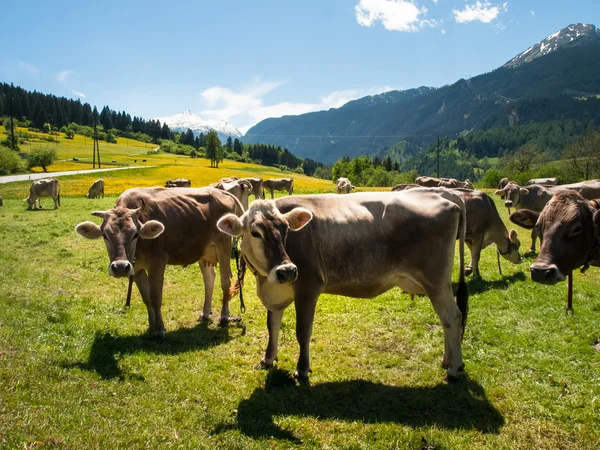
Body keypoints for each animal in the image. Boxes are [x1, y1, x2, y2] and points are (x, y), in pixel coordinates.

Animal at [75, 186, 244, 334]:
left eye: (135, 234)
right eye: (105, 235)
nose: (121, 267)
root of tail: (219, 191)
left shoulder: (158, 262)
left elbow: (156, 297)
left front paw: (160, 329)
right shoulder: (136, 268)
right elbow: (146, 298)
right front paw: (151, 326)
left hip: (223, 245)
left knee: (225, 280)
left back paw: (224, 317)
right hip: (205, 251)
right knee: (209, 279)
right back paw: (205, 313)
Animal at [218, 192, 472, 382]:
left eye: (286, 230)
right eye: (255, 232)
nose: (287, 270)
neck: (266, 281)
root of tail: (446, 197)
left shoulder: (308, 287)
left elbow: (303, 332)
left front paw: (302, 369)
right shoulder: (276, 292)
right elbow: (272, 327)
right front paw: (268, 359)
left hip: (436, 280)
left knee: (452, 317)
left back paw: (454, 368)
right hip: (439, 284)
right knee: (446, 318)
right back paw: (447, 360)